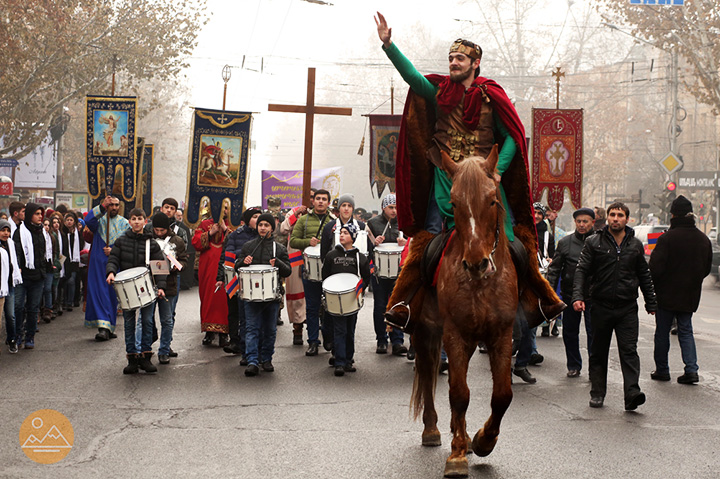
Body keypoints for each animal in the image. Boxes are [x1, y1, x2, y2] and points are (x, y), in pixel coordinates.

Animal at [410, 145, 516, 476]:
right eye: (454, 203)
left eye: (492, 199)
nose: (476, 263)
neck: (481, 283)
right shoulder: (454, 334)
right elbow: (458, 393)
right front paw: (457, 455)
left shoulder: (501, 334)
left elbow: (502, 394)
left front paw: (483, 440)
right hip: (425, 332)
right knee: (429, 371)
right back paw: (433, 430)